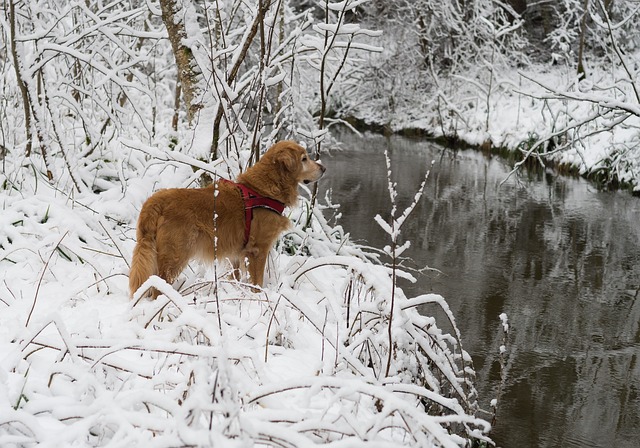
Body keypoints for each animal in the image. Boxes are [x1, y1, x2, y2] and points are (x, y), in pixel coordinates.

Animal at [127, 142, 324, 300]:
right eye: (304, 159)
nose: (323, 169)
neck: (262, 190)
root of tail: (156, 200)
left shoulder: (236, 253)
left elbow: (235, 278)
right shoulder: (258, 250)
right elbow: (257, 282)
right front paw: (258, 297)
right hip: (174, 256)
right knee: (158, 287)